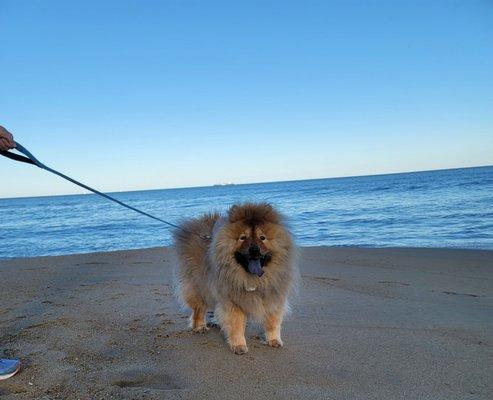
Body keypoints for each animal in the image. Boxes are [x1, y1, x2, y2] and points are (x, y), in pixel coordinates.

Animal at [173, 203, 296, 354]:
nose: (254, 249)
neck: (253, 279)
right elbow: (236, 325)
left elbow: (273, 322)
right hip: (199, 286)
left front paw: (274, 340)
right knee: (199, 309)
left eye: (262, 237)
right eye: (243, 237)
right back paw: (199, 327)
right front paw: (239, 346)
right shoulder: (233, 301)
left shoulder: (274, 297)